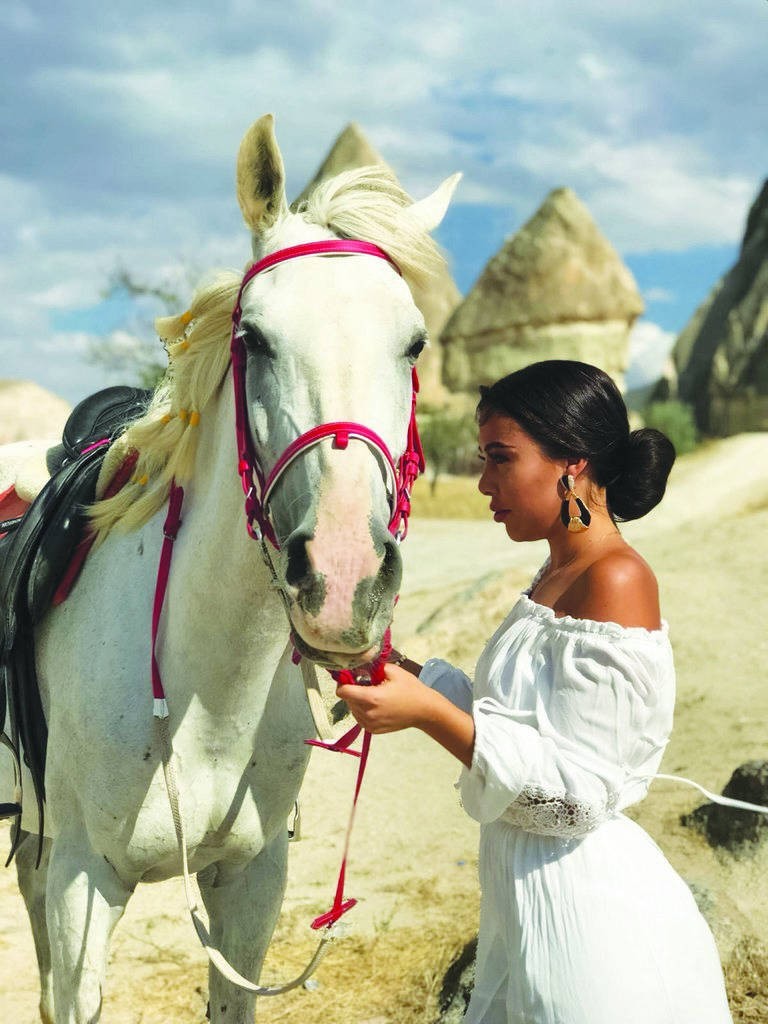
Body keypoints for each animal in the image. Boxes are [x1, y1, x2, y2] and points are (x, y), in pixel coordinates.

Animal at [8, 114, 460, 1023]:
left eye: (415, 343)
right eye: (254, 339)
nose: (344, 581)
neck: (206, 695)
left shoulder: (251, 884)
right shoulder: (82, 887)